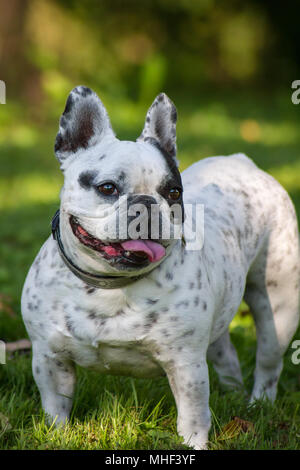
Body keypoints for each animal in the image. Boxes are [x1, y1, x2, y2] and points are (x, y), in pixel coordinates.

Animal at [21, 86, 300, 450]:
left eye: (173, 192)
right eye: (107, 188)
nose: (147, 205)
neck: (111, 285)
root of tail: (242, 161)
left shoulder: (186, 365)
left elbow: (193, 416)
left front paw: (193, 446)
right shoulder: (49, 358)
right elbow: (56, 407)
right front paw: (58, 437)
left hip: (277, 307)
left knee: (268, 360)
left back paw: (258, 405)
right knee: (225, 353)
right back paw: (233, 395)